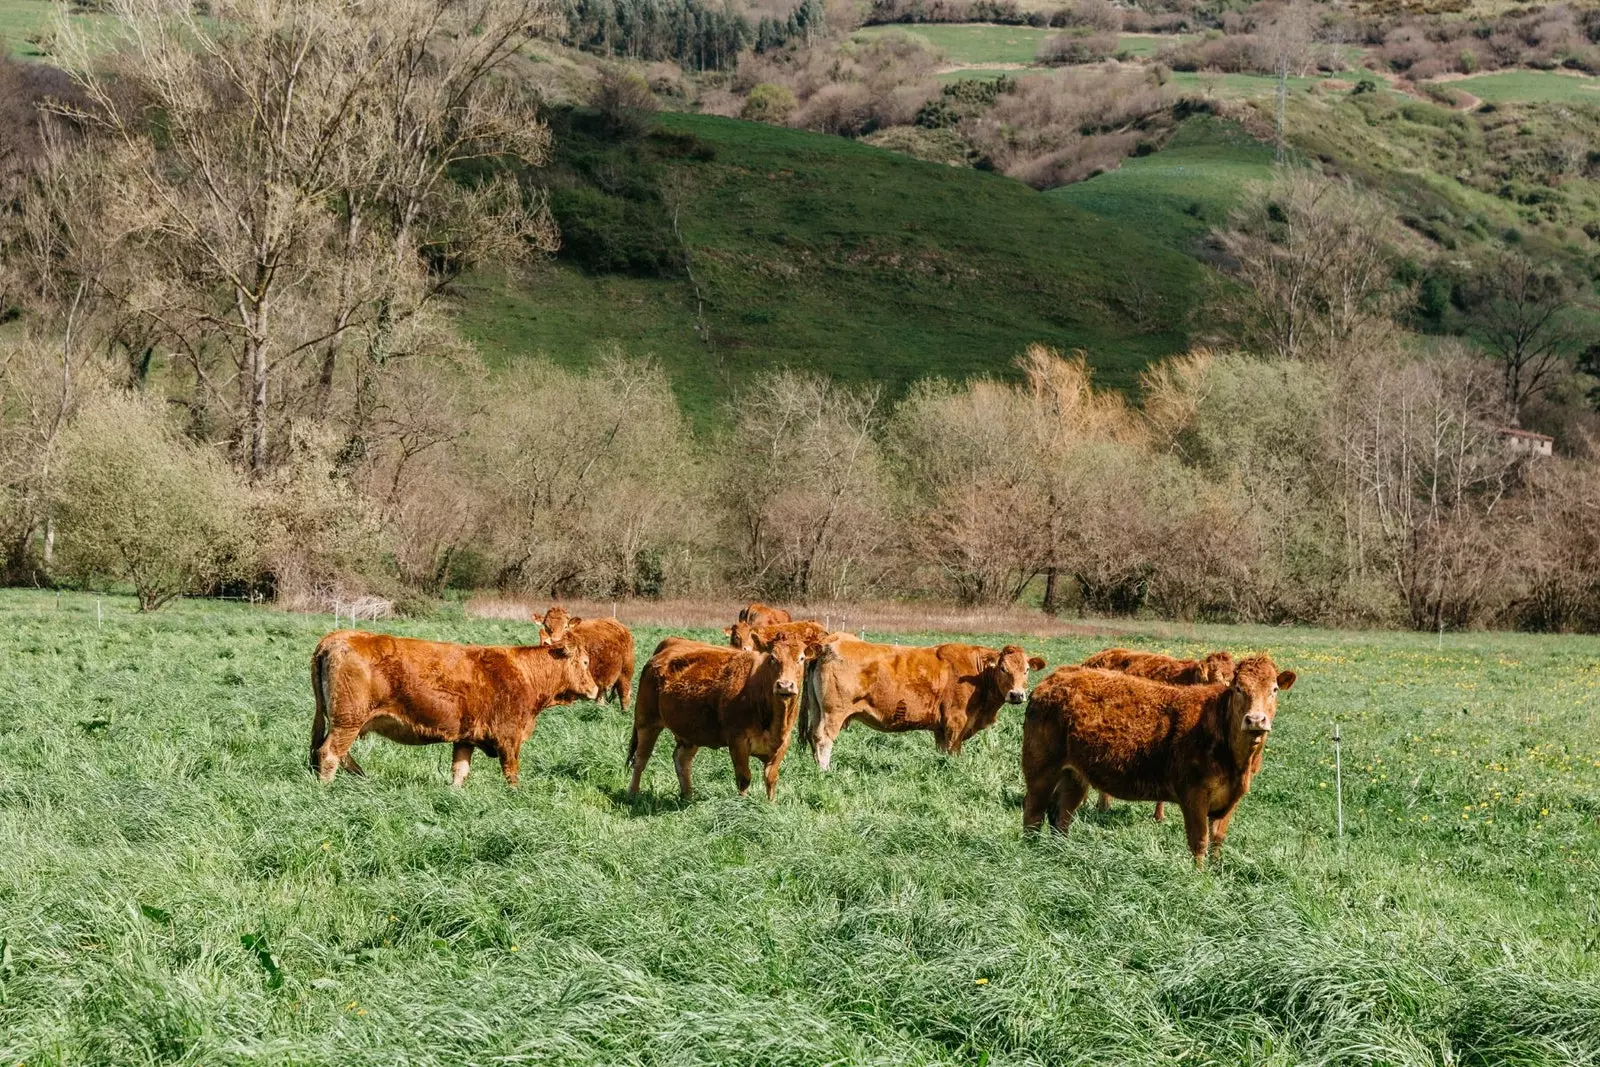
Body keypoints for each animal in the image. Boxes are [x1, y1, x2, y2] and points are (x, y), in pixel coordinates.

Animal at [308, 630, 598, 790]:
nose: (596, 690)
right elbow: (511, 773)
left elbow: (460, 771)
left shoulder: (465, 737)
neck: (526, 674)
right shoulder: (509, 737)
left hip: (343, 722)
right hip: (348, 721)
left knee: (333, 753)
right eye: (585, 662)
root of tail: (337, 637)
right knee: (330, 754)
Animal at [630, 633, 819, 799]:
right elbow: (744, 778)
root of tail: (672, 642)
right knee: (640, 759)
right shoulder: (738, 741)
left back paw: (687, 797)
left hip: (691, 730)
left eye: (801, 658)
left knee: (681, 759)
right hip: (647, 721)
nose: (785, 685)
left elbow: (771, 778)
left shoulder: (783, 743)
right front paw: (743, 806)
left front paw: (770, 806)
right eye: (772, 657)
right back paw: (633, 795)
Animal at [800, 639, 1049, 771]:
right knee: (823, 738)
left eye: (1026, 670)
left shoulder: (941, 728)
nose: (1017, 695)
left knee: (813, 735)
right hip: (833, 712)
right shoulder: (955, 721)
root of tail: (831, 642)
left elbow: (942, 751)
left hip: (817, 710)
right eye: (1003, 668)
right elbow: (953, 751)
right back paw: (825, 770)